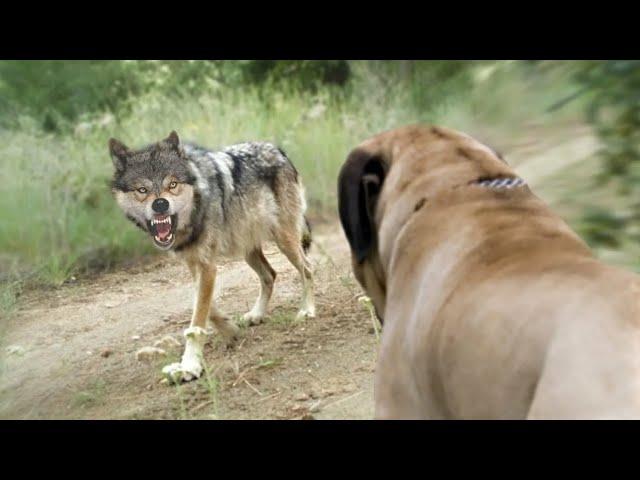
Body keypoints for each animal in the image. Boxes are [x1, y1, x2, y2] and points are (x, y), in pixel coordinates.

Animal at [109, 130, 316, 382]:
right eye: (142, 190)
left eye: (172, 184)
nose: (160, 204)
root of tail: (278, 150)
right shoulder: (194, 263)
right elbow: (204, 306)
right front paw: (229, 330)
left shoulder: (208, 265)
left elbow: (198, 317)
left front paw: (189, 365)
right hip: (247, 249)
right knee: (270, 275)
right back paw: (256, 314)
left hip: (284, 240)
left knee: (307, 268)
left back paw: (307, 310)